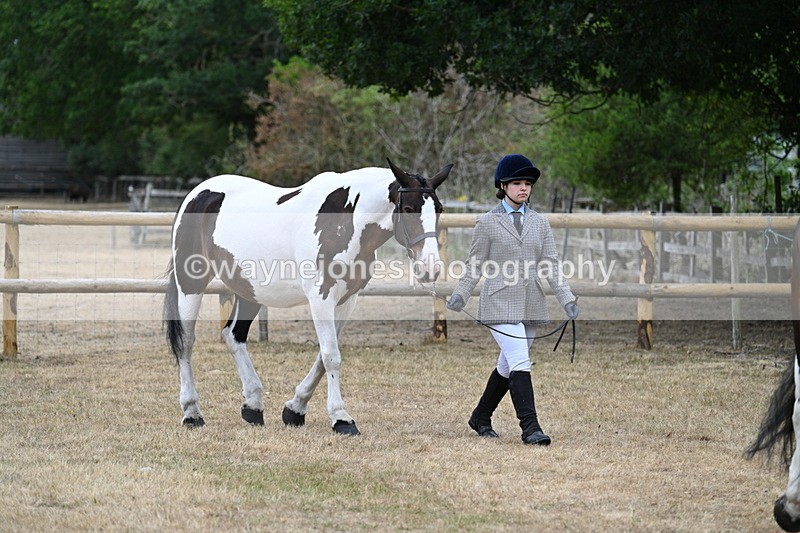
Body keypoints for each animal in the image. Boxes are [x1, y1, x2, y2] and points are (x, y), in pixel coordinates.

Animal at [164, 159, 451, 435]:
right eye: (409, 209)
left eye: (438, 209)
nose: (431, 268)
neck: (347, 219)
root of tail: (197, 194)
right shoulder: (321, 297)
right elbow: (331, 355)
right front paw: (341, 418)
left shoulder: (347, 299)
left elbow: (324, 356)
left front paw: (295, 409)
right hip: (191, 284)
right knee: (187, 342)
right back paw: (192, 413)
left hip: (249, 290)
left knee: (233, 335)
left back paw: (253, 406)